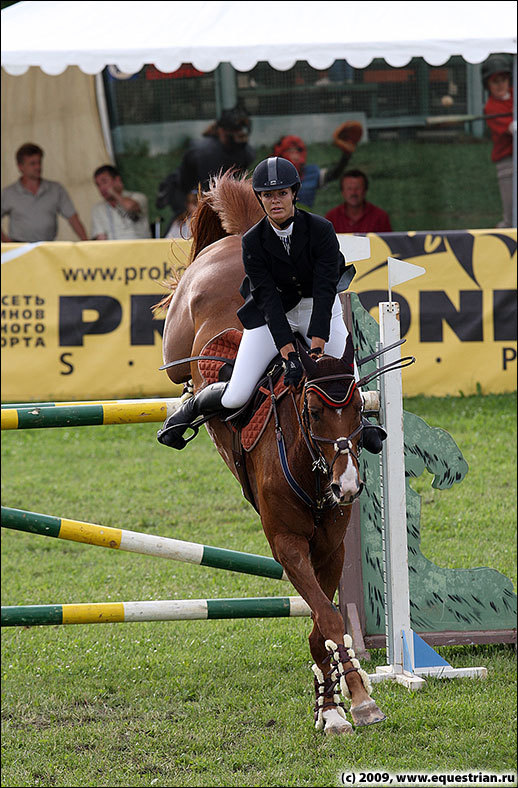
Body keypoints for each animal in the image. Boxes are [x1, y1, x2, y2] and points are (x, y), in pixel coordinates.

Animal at [158, 171, 386, 732]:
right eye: (313, 411)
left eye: (358, 410)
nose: (348, 486)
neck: (313, 469)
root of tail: (240, 237)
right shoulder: (286, 543)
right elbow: (329, 618)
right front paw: (356, 701)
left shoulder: (330, 546)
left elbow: (323, 621)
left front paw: (331, 703)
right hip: (177, 343)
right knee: (185, 375)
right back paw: (182, 411)